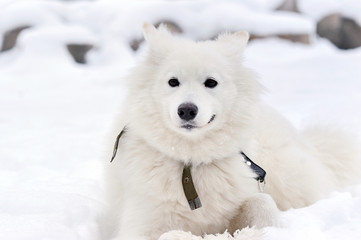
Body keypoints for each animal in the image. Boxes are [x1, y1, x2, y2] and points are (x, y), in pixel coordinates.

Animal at [99, 23, 360, 240]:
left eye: (211, 82)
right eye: (173, 82)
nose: (187, 110)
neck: (191, 164)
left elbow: (262, 202)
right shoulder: (140, 225)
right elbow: (169, 234)